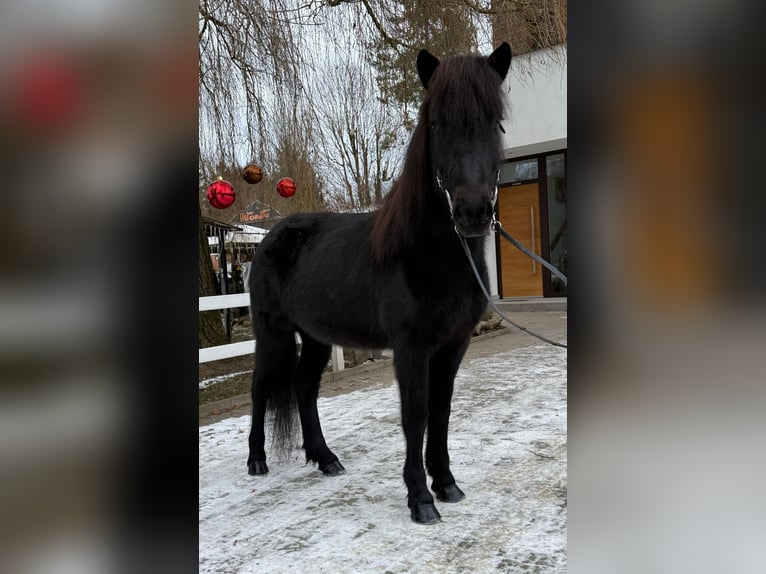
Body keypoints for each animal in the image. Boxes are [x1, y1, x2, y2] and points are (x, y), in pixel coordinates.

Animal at [247, 42, 512, 525]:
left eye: (494, 122)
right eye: (436, 124)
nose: (472, 212)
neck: (427, 253)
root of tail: (272, 235)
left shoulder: (453, 344)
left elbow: (441, 411)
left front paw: (447, 484)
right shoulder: (410, 348)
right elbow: (415, 415)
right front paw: (420, 499)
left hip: (316, 338)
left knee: (304, 388)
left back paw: (326, 458)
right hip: (271, 333)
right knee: (262, 387)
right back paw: (257, 460)